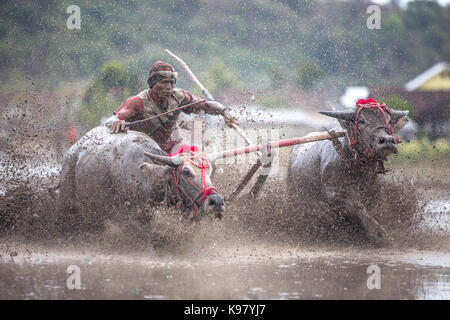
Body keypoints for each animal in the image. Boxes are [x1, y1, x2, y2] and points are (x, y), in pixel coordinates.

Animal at [56, 126, 225, 234]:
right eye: (186, 172)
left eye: (210, 172)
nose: (216, 201)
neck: (148, 181)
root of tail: (72, 152)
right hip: (68, 203)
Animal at [288, 100, 408, 242]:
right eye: (361, 121)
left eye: (389, 120)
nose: (387, 141)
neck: (358, 168)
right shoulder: (333, 192)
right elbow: (357, 206)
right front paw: (378, 233)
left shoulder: (375, 193)